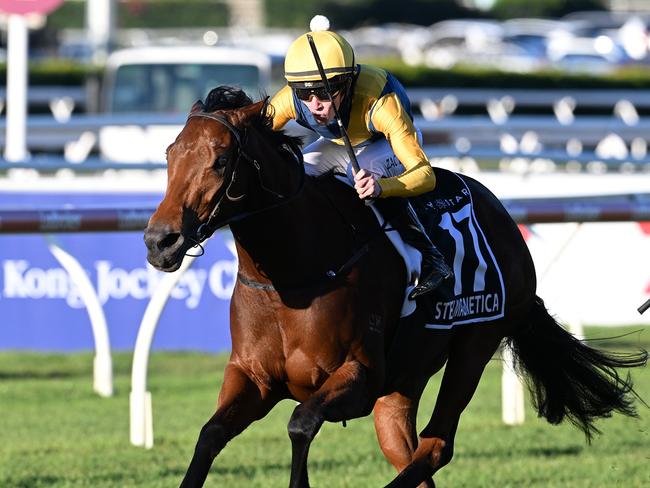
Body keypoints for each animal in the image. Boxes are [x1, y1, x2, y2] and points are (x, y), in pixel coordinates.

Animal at [144, 86, 644, 486]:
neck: (294, 274)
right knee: (406, 450)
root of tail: (503, 215)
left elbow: (300, 423)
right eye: (169, 155)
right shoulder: (253, 378)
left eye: (220, 161)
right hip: (406, 379)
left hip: (475, 344)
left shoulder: (361, 377)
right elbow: (210, 435)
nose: (159, 241)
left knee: (436, 446)